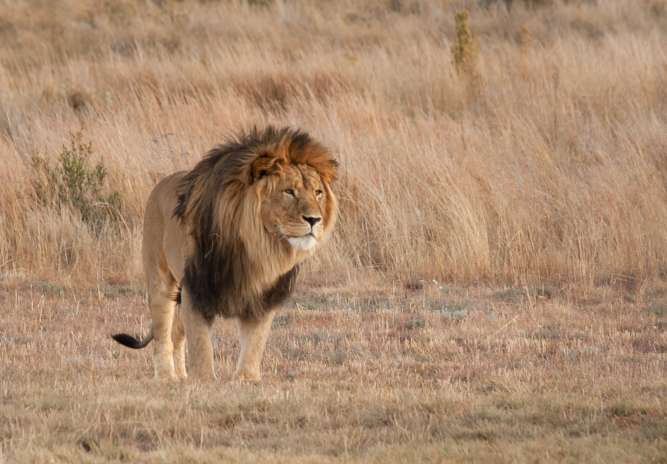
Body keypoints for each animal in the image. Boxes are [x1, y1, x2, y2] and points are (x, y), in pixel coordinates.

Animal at [112, 126, 338, 381]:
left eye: (318, 193)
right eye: (289, 191)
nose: (314, 219)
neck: (260, 248)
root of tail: (160, 184)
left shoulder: (263, 296)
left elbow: (255, 343)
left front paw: (246, 379)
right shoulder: (197, 288)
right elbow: (201, 345)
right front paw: (204, 381)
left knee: (176, 334)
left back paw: (182, 377)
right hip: (160, 280)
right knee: (163, 334)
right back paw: (167, 377)